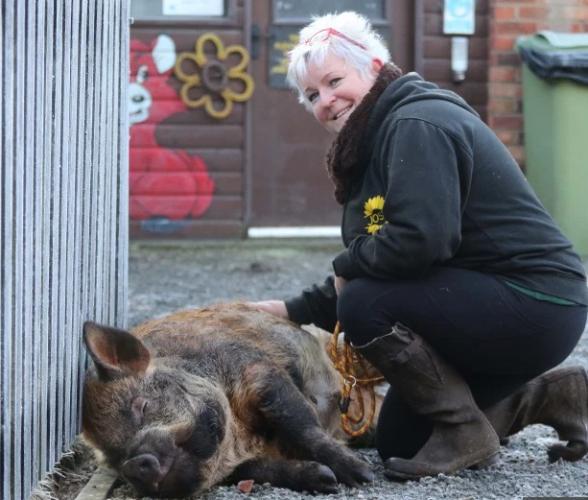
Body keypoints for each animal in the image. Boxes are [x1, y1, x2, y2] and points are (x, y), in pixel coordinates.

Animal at [81, 302, 376, 498]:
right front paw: (325, 479)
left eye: (142, 405)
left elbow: (302, 425)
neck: (242, 435)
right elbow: (261, 470)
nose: (133, 464)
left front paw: (362, 475)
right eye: (114, 458)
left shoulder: (258, 371)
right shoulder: (243, 464)